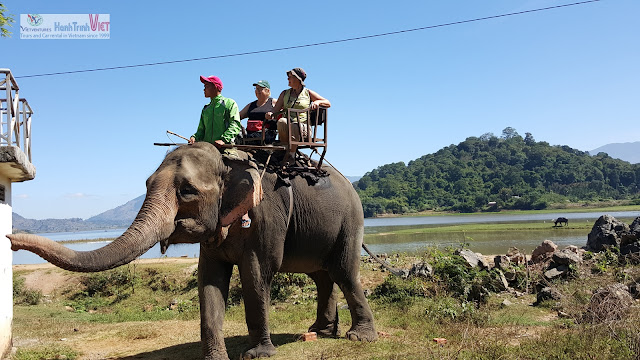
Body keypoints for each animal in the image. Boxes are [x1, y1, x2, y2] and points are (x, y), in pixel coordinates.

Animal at [7, 143, 378, 360]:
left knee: (343, 272)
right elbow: (209, 280)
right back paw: (318, 333)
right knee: (321, 276)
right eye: (146, 185)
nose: (10, 239)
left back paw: (359, 338)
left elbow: (257, 273)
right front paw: (216, 358)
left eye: (186, 191)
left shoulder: (266, 215)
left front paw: (258, 354)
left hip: (350, 220)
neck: (228, 161)